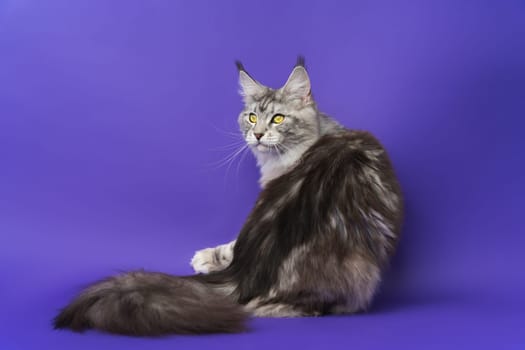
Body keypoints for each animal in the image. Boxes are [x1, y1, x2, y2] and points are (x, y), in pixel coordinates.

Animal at [53, 57, 404, 336]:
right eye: (251, 117)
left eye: (278, 118)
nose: (258, 134)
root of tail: (245, 274)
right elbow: (231, 244)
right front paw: (206, 257)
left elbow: (231, 244)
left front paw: (205, 257)